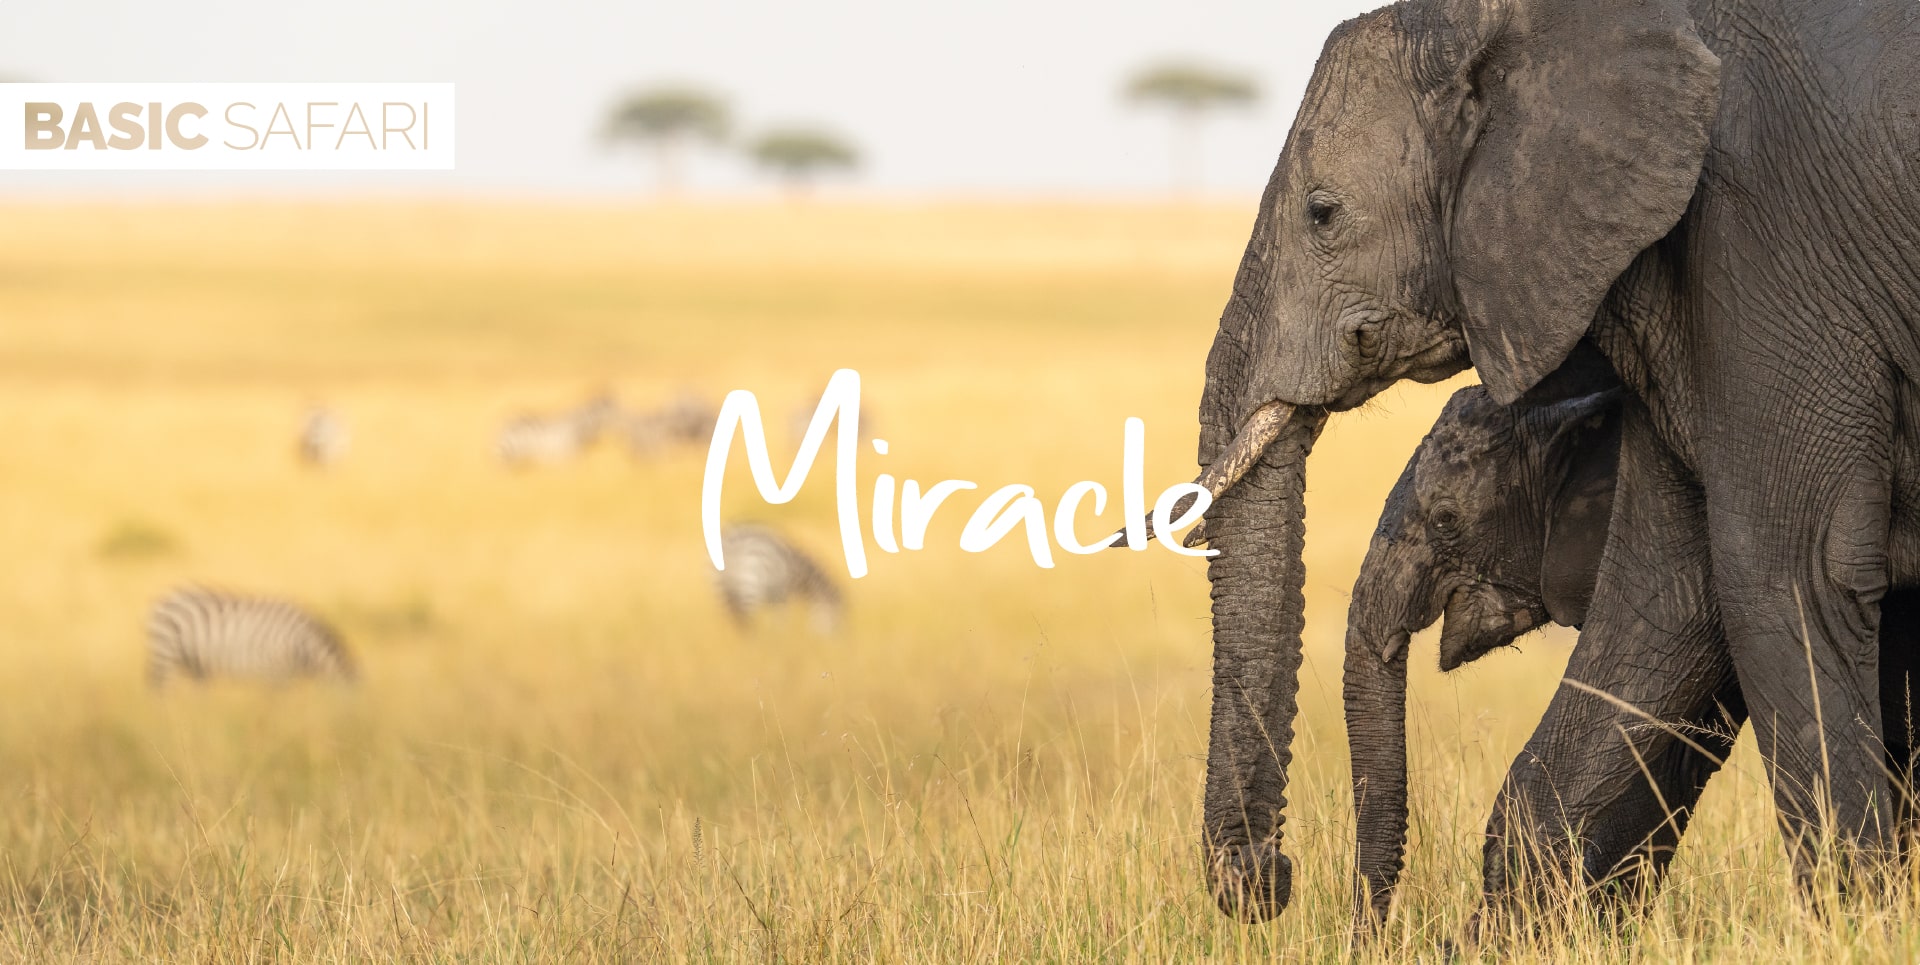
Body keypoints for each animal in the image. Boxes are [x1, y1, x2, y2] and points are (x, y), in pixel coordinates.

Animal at [1177, 0, 1920, 923]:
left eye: (1323, 212)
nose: (1269, 875)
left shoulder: (1769, 249)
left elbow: (1782, 575)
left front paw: (1859, 924)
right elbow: (1667, 604)